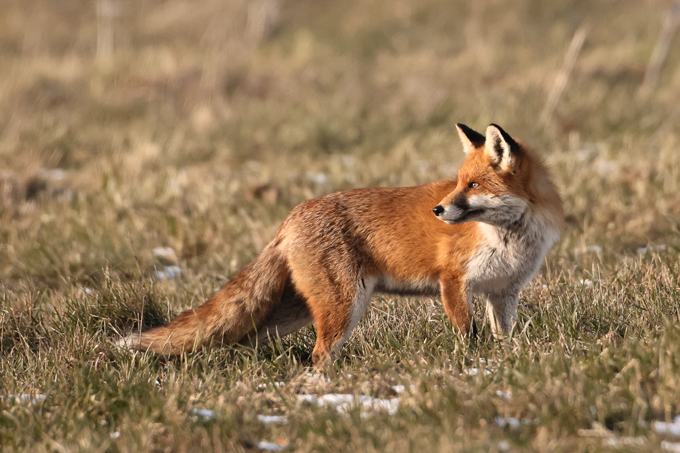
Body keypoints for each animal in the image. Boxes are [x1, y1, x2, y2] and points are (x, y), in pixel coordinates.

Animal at [119, 124, 563, 364]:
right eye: (458, 183)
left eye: (473, 186)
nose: (438, 210)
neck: (508, 237)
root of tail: (292, 215)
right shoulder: (451, 281)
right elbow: (467, 333)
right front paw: (473, 363)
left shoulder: (503, 292)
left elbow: (504, 336)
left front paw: (504, 359)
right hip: (343, 306)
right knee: (317, 354)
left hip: (295, 311)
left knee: (241, 339)